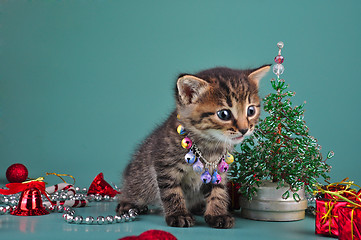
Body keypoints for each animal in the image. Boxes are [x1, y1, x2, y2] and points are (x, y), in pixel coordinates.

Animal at [116, 65, 268, 229]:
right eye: (224, 114)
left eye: (251, 111)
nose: (244, 129)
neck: (209, 145)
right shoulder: (165, 166)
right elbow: (171, 192)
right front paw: (179, 214)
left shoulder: (219, 171)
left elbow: (218, 191)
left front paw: (217, 213)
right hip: (139, 178)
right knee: (133, 189)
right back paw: (127, 203)